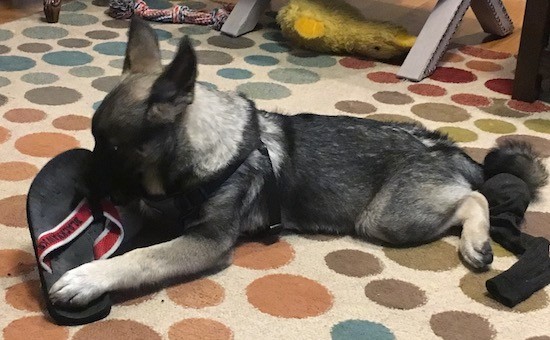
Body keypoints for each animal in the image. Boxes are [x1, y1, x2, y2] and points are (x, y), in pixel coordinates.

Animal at [50, 17, 548, 306]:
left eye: (112, 148)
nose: (82, 190)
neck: (213, 151)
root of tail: (443, 148)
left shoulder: (206, 241)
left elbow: (146, 258)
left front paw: (88, 277)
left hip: (389, 219)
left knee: (473, 199)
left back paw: (476, 242)